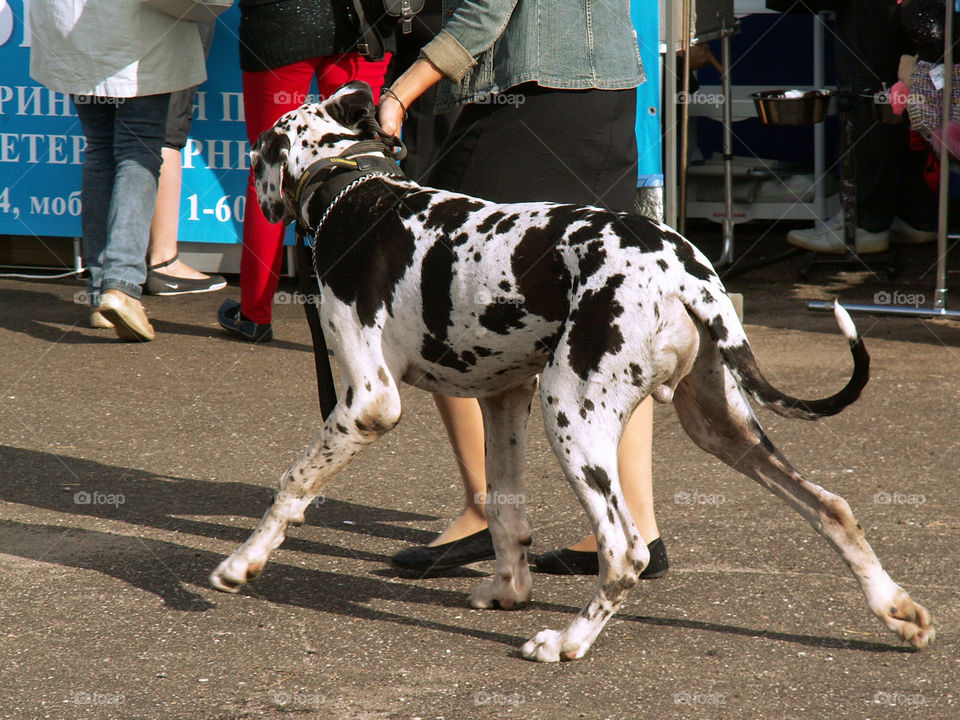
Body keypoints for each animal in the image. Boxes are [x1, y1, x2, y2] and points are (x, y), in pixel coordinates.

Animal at [208, 81, 928, 660]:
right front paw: (508, 588)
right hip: (719, 425)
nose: (248, 198)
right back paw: (897, 610)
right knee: (831, 506)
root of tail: (685, 271)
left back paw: (569, 642)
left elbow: (292, 483)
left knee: (626, 551)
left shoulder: (367, 403)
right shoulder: (501, 399)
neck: (353, 189)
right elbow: (505, 511)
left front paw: (242, 563)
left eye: (257, 155)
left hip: (573, 414)